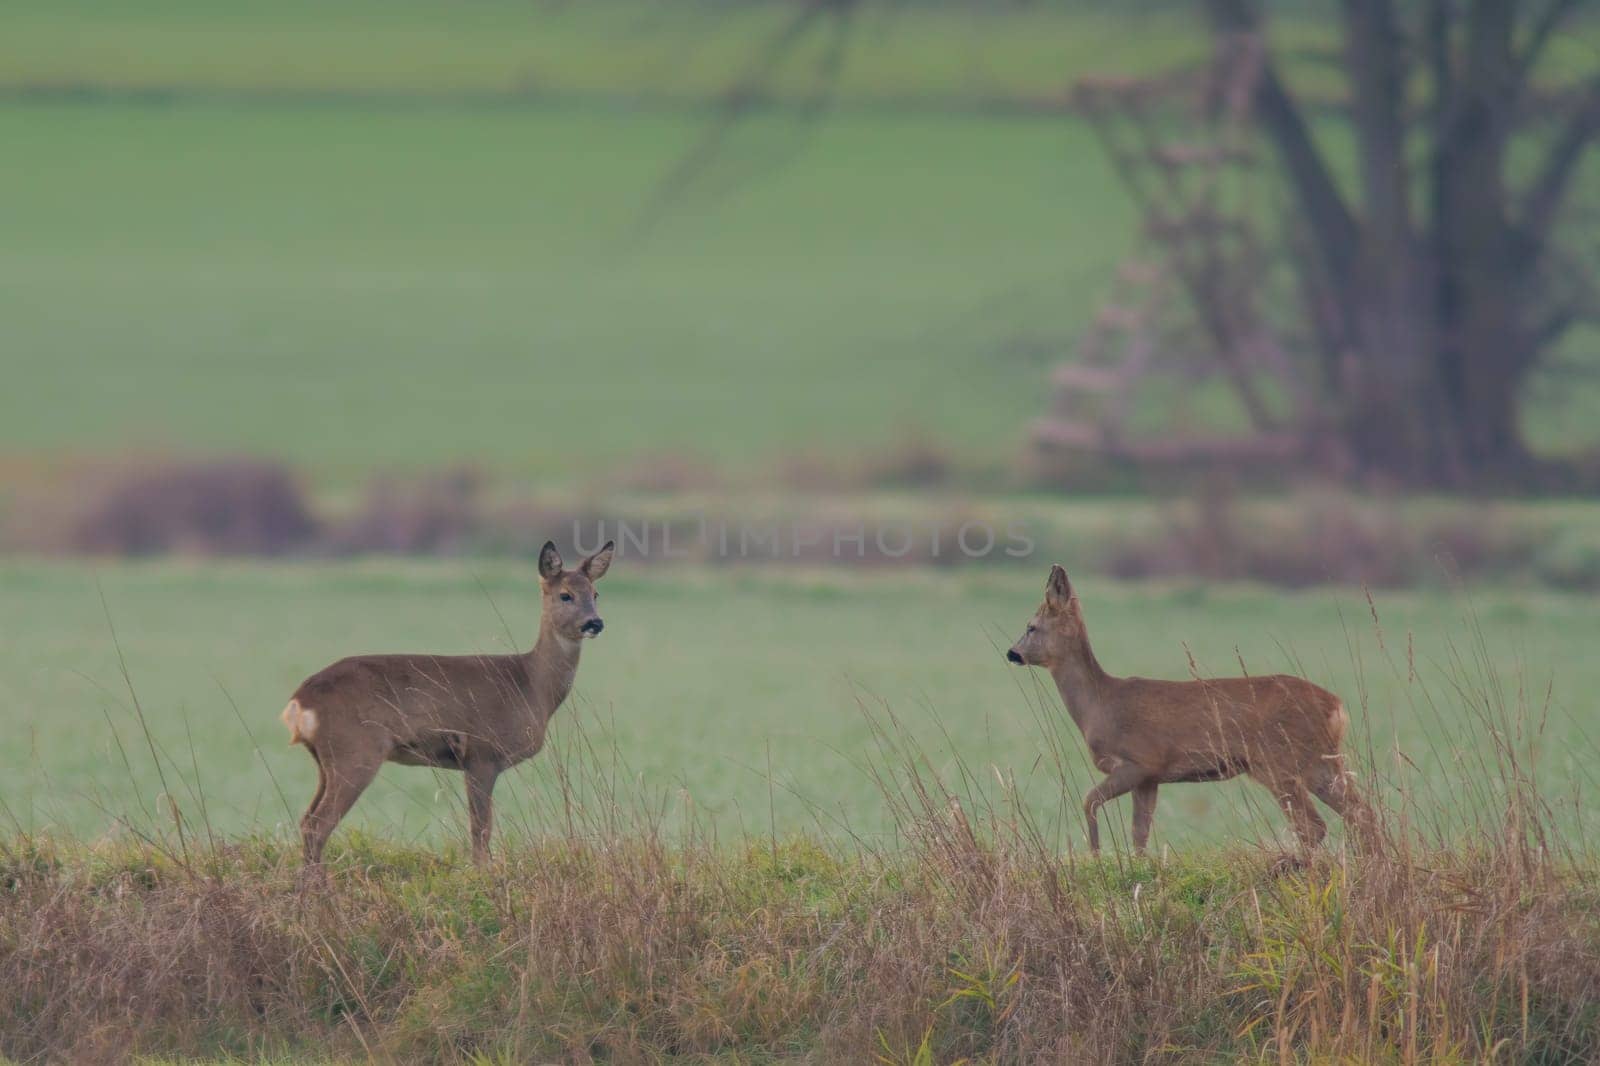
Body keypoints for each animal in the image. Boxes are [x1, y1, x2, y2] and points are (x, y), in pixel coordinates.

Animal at [281, 534, 611, 870]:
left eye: (595, 593)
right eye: (565, 595)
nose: (594, 623)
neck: (531, 684)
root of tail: (299, 700)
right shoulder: (482, 753)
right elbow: (481, 827)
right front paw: (480, 873)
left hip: (326, 759)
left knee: (306, 820)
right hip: (355, 750)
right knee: (318, 824)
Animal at [1004, 563, 1369, 857]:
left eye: (1031, 626)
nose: (1011, 653)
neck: (1099, 705)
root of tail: (1337, 707)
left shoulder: (1139, 761)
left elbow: (1089, 800)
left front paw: (1094, 855)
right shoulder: (1151, 778)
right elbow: (1140, 834)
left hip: (1278, 761)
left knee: (1314, 825)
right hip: (1320, 762)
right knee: (1360, 813)